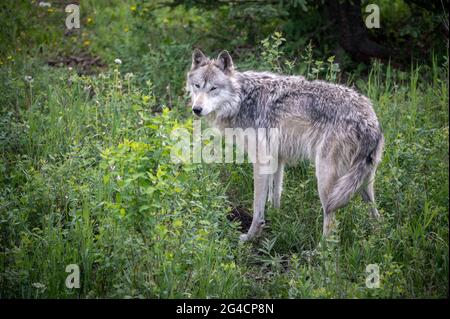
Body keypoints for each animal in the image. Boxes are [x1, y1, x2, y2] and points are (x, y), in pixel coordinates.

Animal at [185, 48, 384, 241]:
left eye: (213, 88)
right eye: (197, 86)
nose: (197, 109)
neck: (241, 100)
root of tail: (370, 121)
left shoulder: (260, 161)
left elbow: (257, 207)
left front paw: (250, 236)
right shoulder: (277, 159)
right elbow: (275, 195)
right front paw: (276, 218)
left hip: (325, 181)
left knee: (331, 222)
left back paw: (319, 250)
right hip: (362, 183)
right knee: (376, 215)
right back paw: (377, 239)